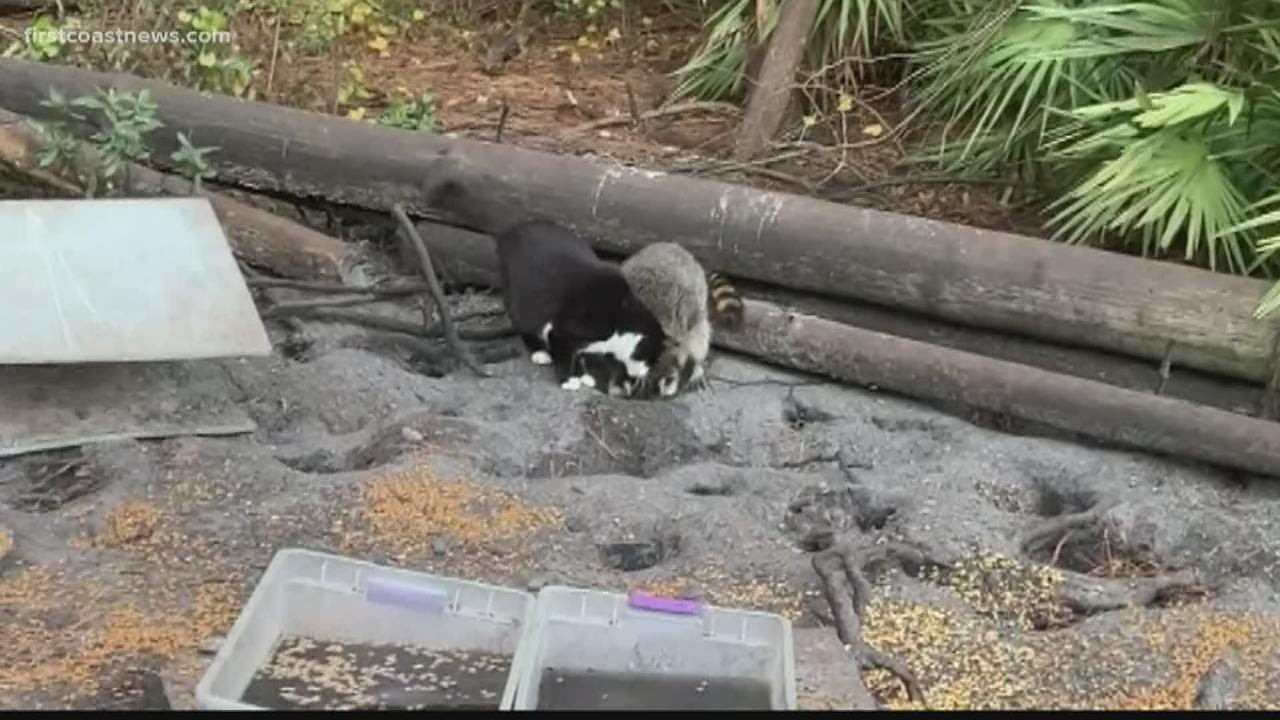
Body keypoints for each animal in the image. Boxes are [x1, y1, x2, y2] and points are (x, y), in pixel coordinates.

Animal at [424, 177, 665, 391]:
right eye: (653, 357)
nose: (646, 375)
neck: (620, 321)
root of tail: (516, 227)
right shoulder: (562, 327)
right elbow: (564, 354)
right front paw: (569, 380)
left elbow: (580, 354)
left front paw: (584, 376)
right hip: (518, 294)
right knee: (520, 319)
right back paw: (539, 353)